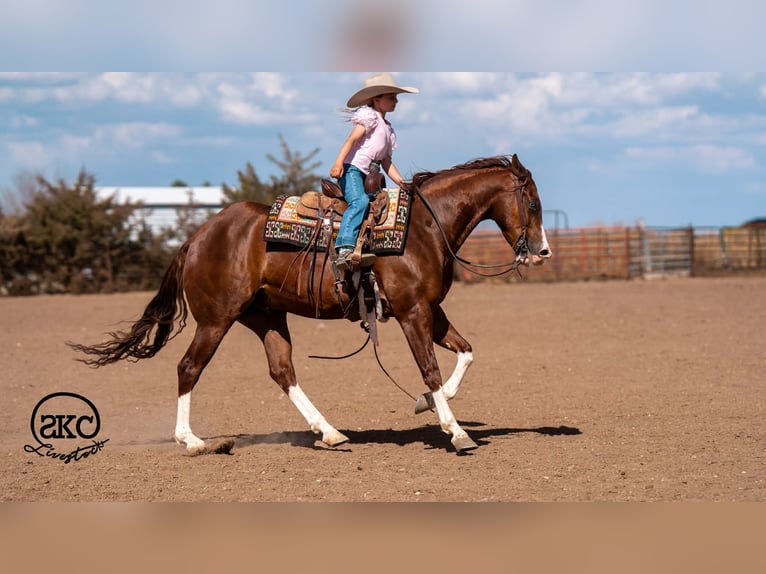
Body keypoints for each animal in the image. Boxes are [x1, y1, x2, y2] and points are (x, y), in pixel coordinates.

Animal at [69, 154, 552, 453]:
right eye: (532, 202)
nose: (542, 251)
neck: (422, 229)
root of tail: (198, 236)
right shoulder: (413, 312)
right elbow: (430, 368)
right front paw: (455, 431)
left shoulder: (430, 310)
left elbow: (466, 353)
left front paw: (429, 403)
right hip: (216, 320)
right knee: (189, 368)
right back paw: (191, 441)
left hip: (265, 316)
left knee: (282, 371)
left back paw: (330, 432)